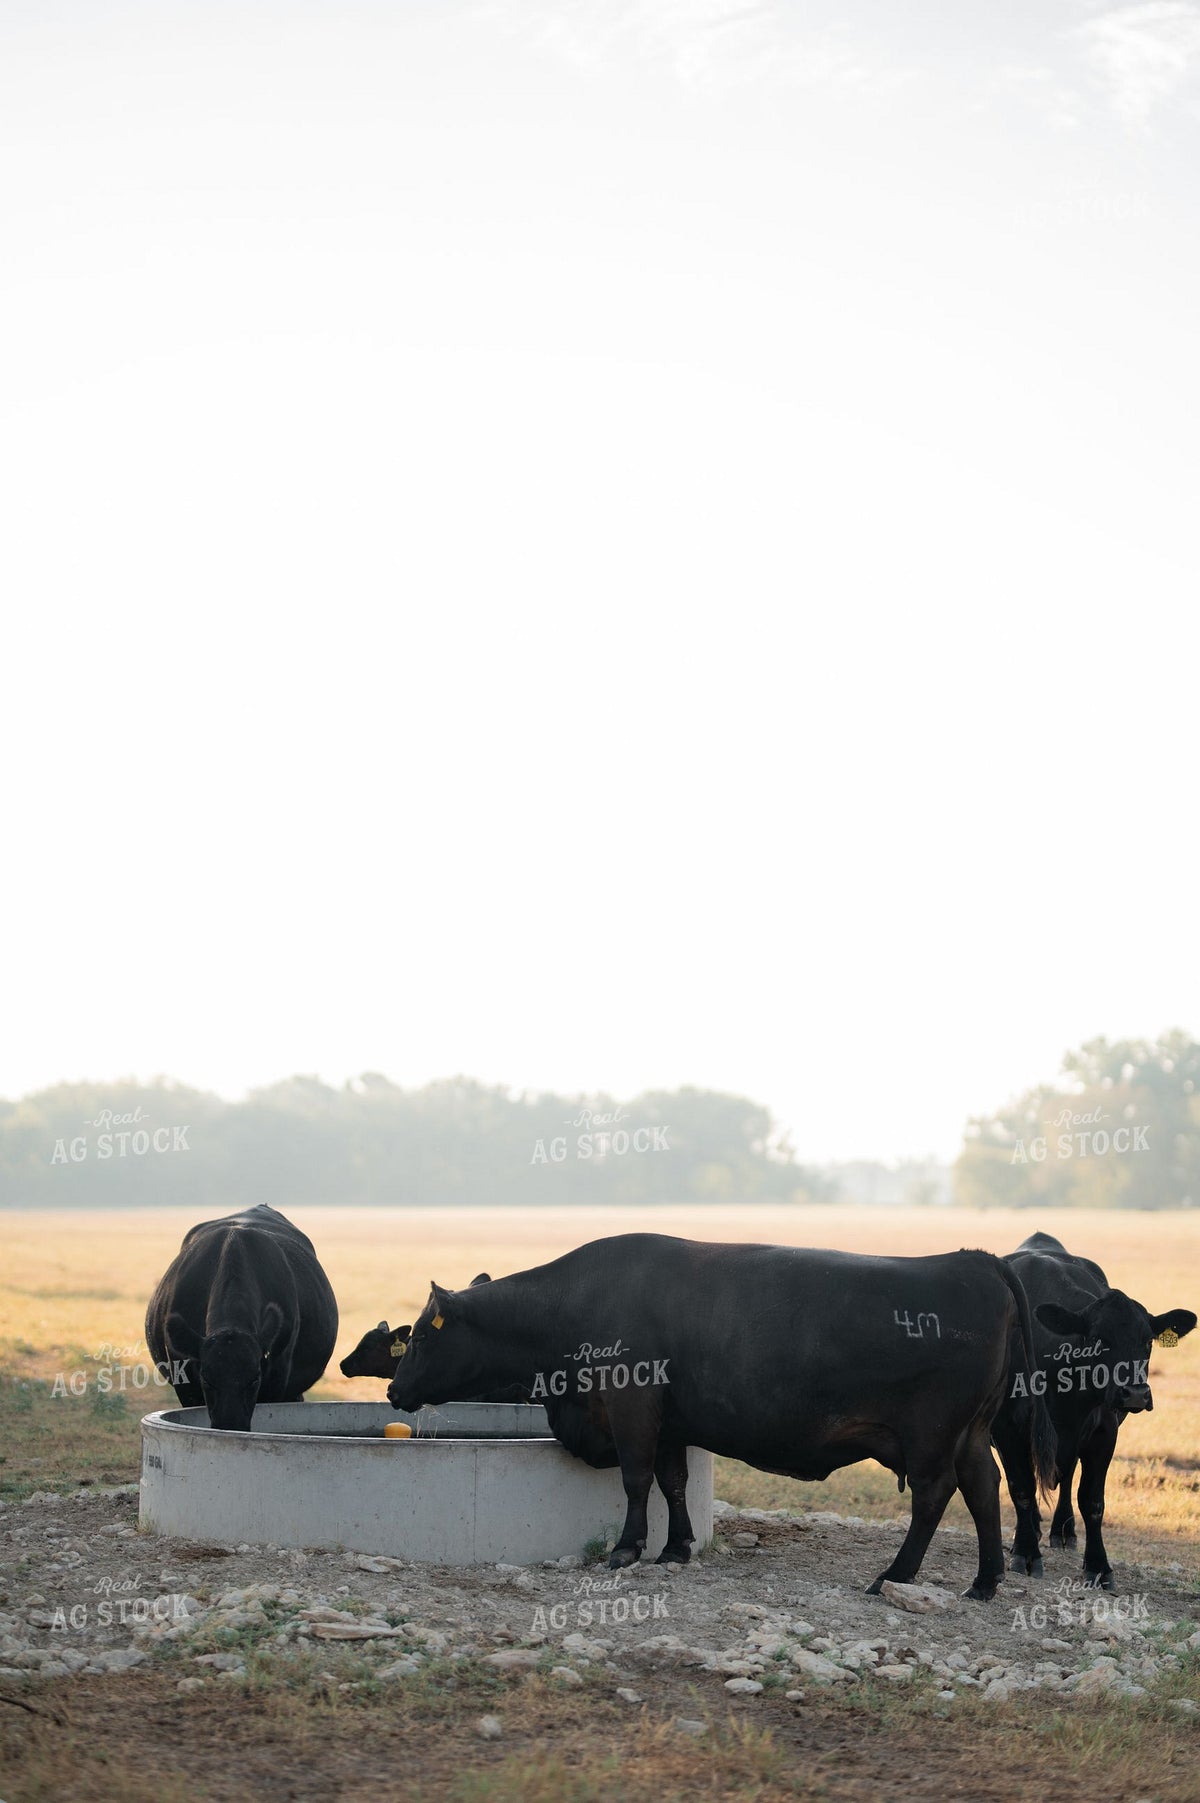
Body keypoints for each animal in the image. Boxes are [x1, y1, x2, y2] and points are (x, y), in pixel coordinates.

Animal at [387, 1232, 1054, 1597]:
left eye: (416, 1337)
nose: (393, 1391)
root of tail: (974, 1260)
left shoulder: (632, 1405)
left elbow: (636, 1480)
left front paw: (627, 1548)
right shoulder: (670, 1422)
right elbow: (672, 1481)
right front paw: (676, 1547)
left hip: (932, 1434)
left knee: (935, 1493)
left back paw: (895, 1574)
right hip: (972, 1432)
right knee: (984, 1488)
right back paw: (984, 1583)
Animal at [992, 1230, 1195, 1590]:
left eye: (1148, 1340)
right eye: (1100, 1339)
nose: (1136, 1393)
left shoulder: (1103, 1432)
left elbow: (1092, 1501)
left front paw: (1099, 1566)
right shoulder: (1007, 1429)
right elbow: (1022, 1489)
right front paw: (1026, 1552)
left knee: (1067, 1476)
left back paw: (1063, 1532)